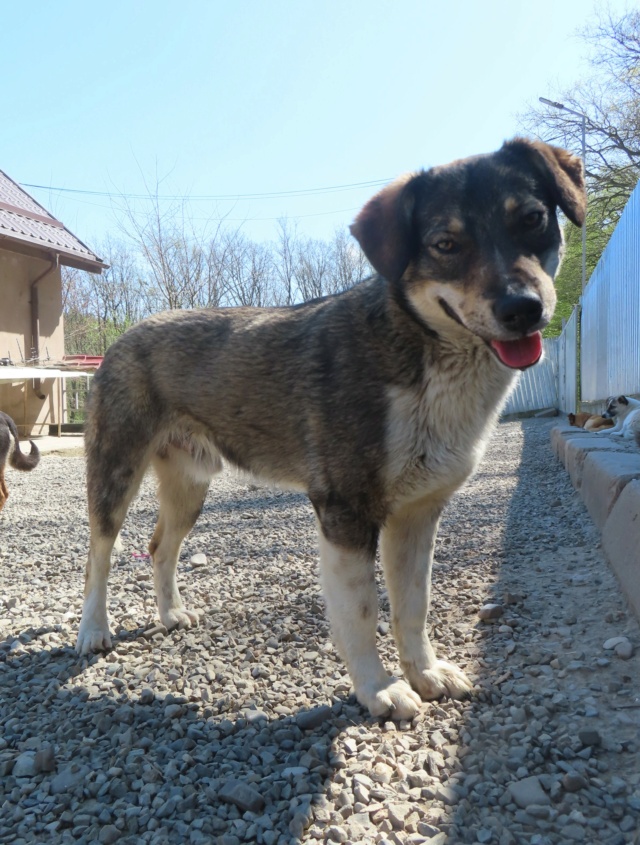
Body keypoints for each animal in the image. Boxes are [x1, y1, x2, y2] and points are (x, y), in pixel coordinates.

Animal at [76, 138, 584, 720]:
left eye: (532, 219)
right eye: (446, 244)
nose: (523, 308)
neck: (417, 346)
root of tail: (129, 333)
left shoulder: (417, 515)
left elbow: (413, 606)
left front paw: (425, 672)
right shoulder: (346, 511)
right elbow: (361, 612)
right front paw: (378, 688)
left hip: (190, 487)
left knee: (161, 547)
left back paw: (169, 614)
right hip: (116, 474)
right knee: (98, 555)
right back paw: (93, 631)